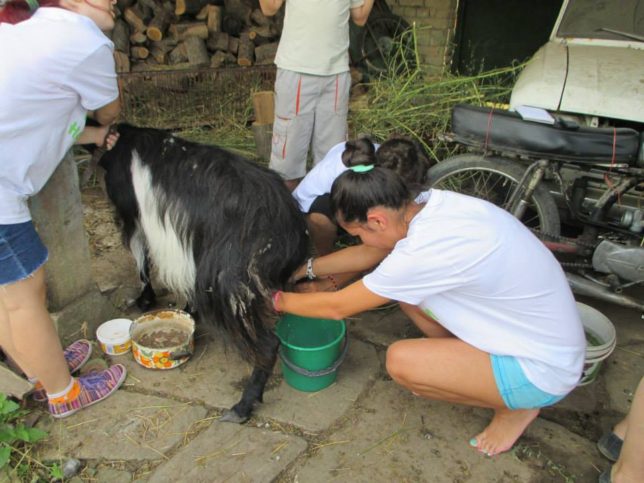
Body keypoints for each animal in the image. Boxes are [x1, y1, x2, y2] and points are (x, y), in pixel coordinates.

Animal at [97, 124, 308, 424]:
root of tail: (288, 229)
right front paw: (188, 313)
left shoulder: (136, 217)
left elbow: (143, 257)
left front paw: (145, 300)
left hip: (227, 282)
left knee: (268, 344)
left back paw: (241, 407)